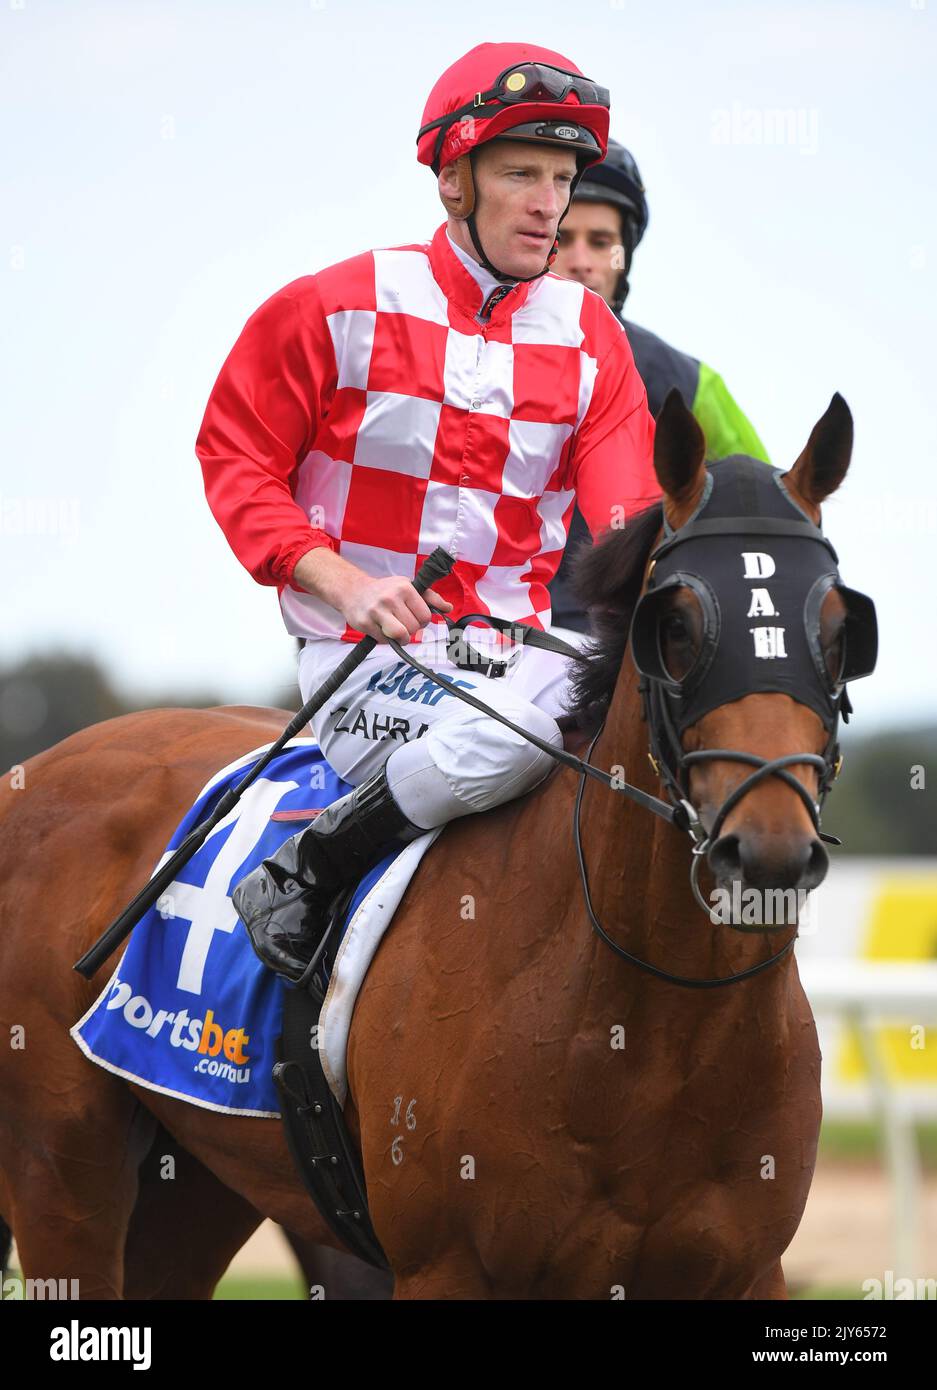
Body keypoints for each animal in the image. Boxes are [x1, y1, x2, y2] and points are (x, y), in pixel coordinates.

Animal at [0, 394, 867, 1301]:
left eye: (841, 627)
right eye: (675, 625)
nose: (766, 853)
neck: (646, 1029)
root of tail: (35, 771)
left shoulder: (744, 1270)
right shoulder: (443, 1265)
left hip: (195, 1172)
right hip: (59, 1164)